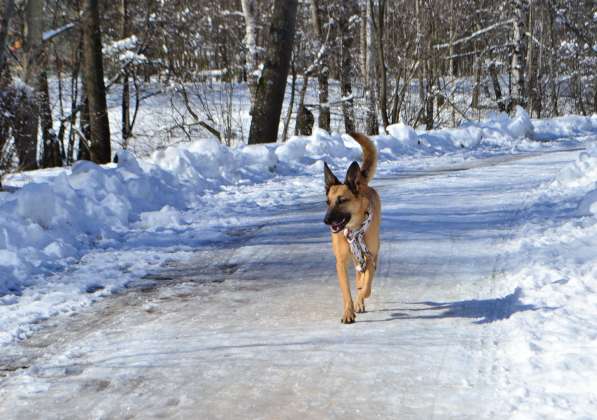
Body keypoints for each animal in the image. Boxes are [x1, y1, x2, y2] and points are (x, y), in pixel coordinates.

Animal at [324, 133, 380, 324]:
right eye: (327, 202)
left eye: (342, 200)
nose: (326, 220)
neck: (354, 229)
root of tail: (360, 183)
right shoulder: (340, 262)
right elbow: (346, 291)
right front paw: (348, 312)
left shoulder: (370, 256)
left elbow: (367, 284)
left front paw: (360, 298)